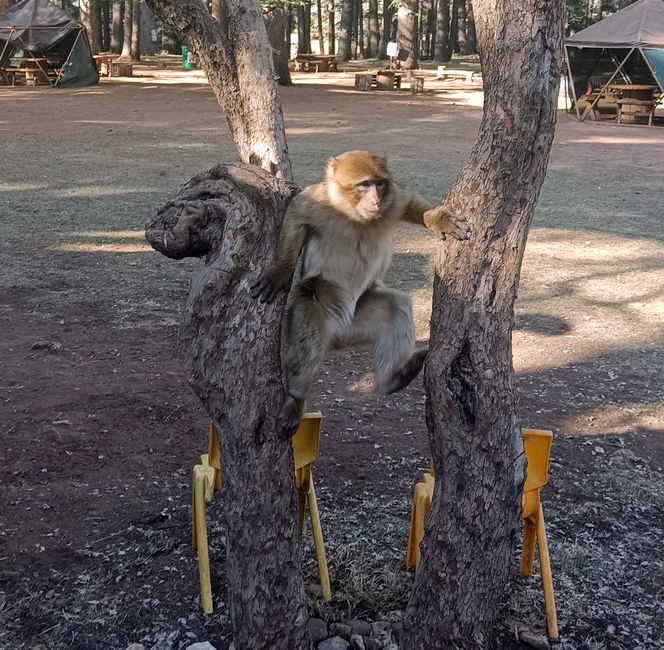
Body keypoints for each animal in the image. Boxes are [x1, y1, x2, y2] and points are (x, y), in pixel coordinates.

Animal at [251, 150, 469, 436]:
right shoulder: (316, 203)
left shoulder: (392, 201)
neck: (353, 215)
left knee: (396, 304)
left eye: (379, 184)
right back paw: (295, 399)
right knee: (307, 315)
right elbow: (295, 217)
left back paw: (392, 379)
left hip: (357, 326)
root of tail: (336, 335)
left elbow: (409, 202)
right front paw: (278, 271)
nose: (375, 199)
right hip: (319, 310)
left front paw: (438, 218)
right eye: (364, 185)